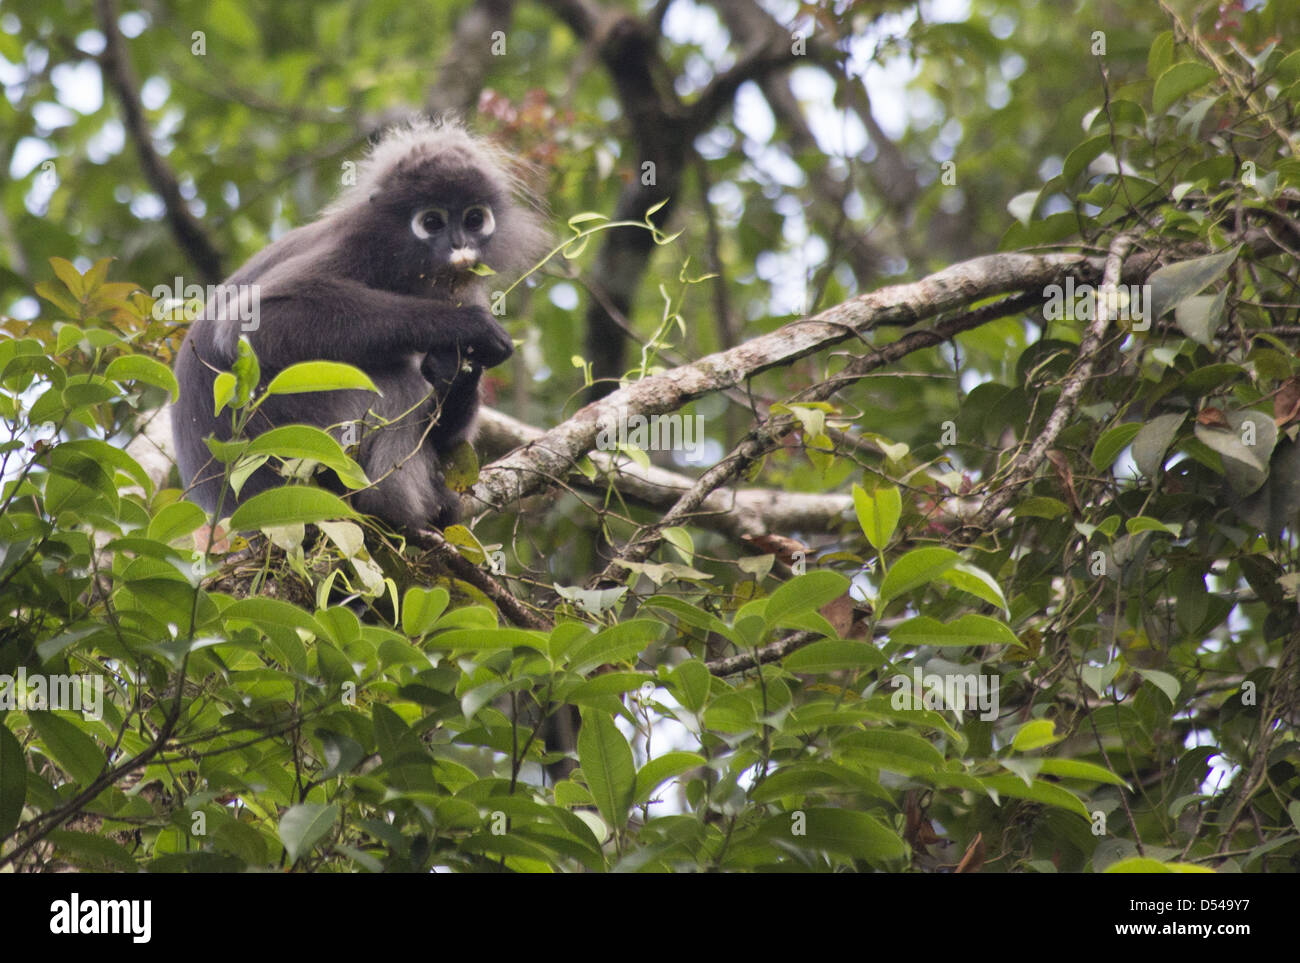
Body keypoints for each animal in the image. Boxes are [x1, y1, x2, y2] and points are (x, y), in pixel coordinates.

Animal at [170, 119, 546, 530]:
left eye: (474, 218)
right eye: (431, 222)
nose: (459, 244)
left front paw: (453, 371)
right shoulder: (354, 251)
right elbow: (251, 321)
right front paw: (465, 325)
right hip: (287, 437)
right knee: (398, 382)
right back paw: (395, 511)